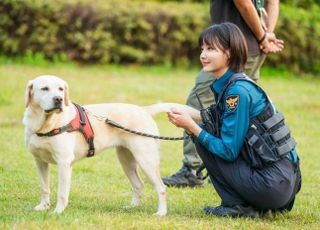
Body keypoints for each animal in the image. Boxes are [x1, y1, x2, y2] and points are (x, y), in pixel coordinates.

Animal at [23, 75, 200, 216]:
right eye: (44, 88)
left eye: (60, 89)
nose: (59, 99)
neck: (45, 125)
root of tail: (143, 110)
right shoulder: (39, 161)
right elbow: (44, 187)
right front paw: (43, 206)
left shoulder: (64, 163)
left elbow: (61, 192)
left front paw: (58, 212)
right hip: (126, 160)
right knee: (138, 185)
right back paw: (132, 207)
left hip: (146, 159)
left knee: (161, 187)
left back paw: (161, 213)